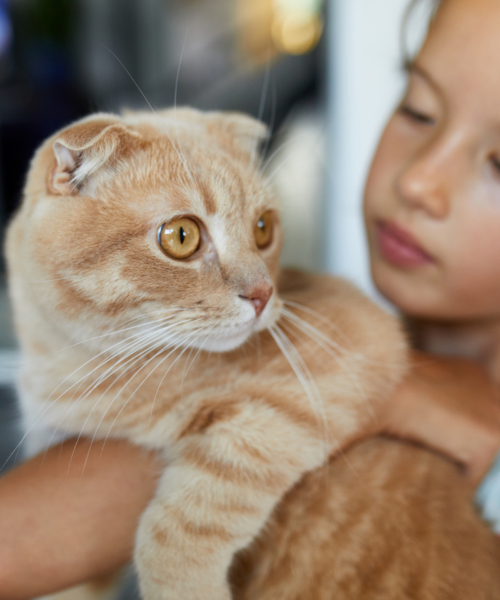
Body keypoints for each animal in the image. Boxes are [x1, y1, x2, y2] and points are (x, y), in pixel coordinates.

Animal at [6, 109, 500, 600]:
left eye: (263, 228)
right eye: (181, 236)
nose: (263, 294)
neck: (74, 369)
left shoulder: (331, 371)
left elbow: (183, 523)